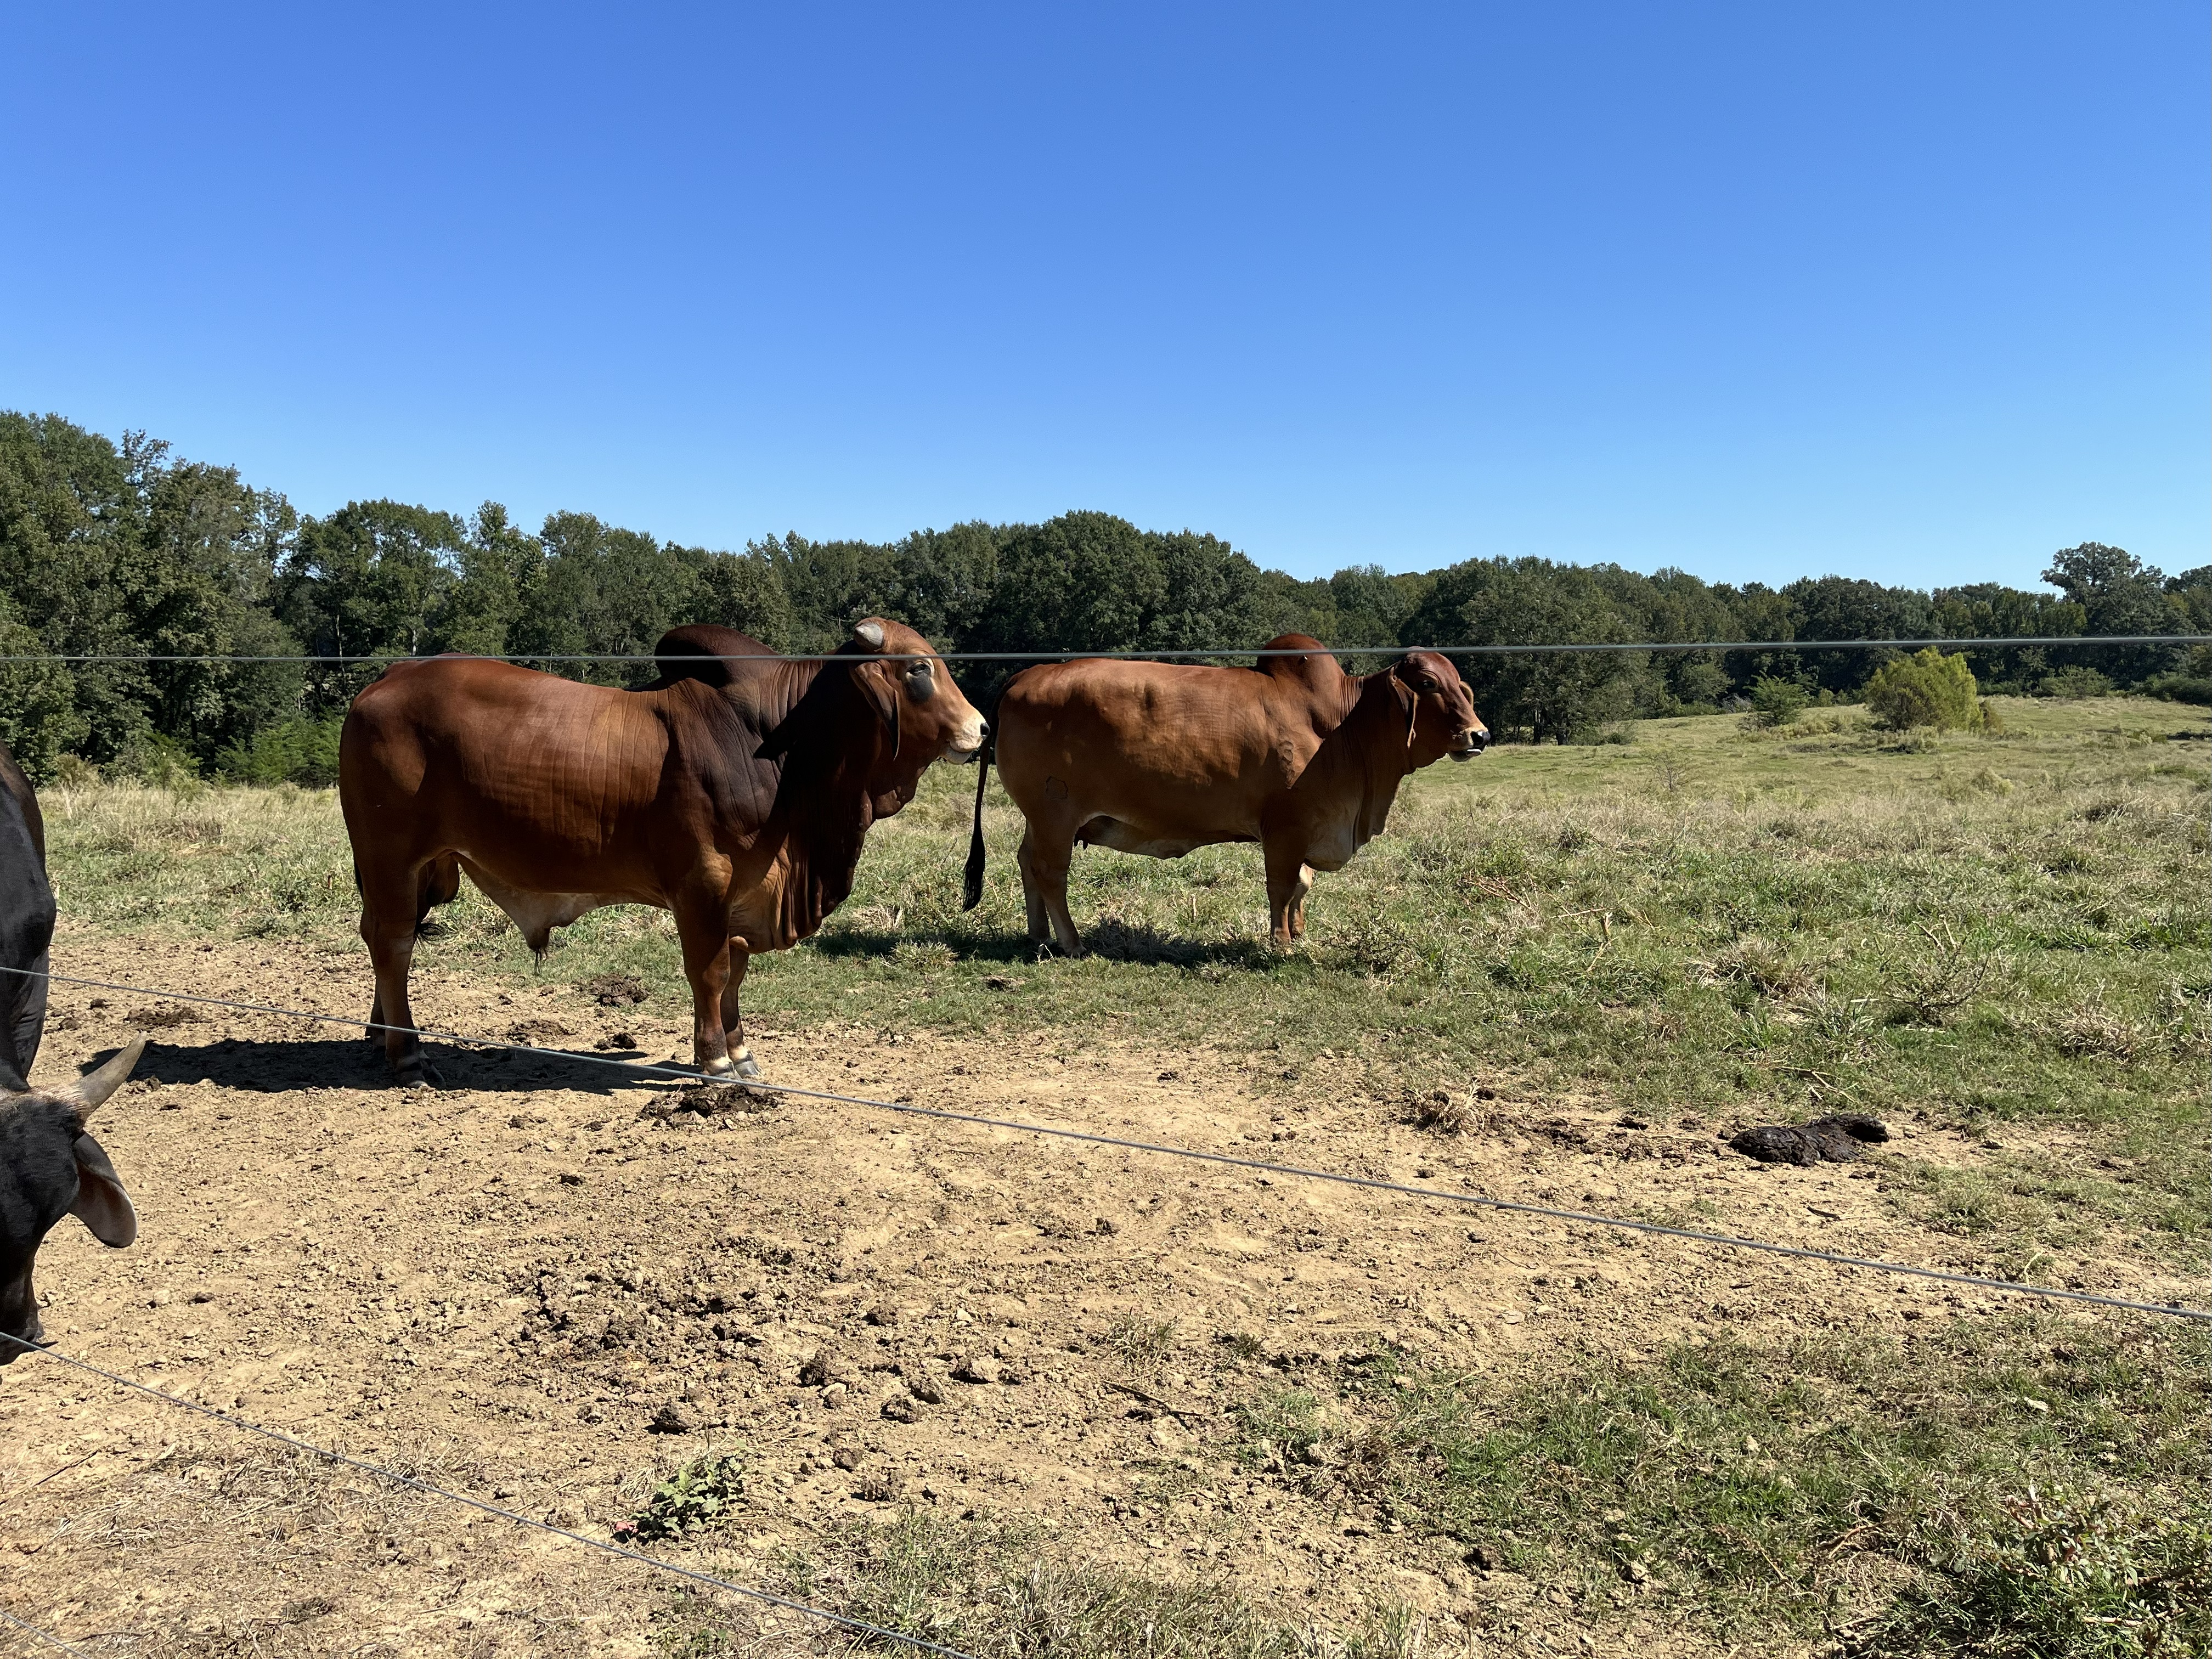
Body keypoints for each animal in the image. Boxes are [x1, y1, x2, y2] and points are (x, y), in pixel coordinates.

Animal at [339, 620, 987, 1085]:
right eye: (919, 669)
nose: (982, 730)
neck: (783, 741)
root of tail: (386, 680)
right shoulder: (703, 883)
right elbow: (711, 972)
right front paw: (716, 1063)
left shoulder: (743, 893)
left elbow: (735, 974)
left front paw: (741, 1054)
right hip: (391, 857)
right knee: (392, 942)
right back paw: (408, 1054)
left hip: (428, 869)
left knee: (389, 938)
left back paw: (378, 1034)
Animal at [963, 636, 1486, 954]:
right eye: (1427, 683)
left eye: (1462, 686)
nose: (1479, 735)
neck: (1346, 724)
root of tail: (1024, 677)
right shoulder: (1285, 829)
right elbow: (1283, 886)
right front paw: (1281, 944)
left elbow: (1303, 885)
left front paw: (1298, 932)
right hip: (1055, 814)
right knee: (1051, 873)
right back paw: (1071, 942)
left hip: (1040, 818)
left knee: (1027, 862)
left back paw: (1037, 937)